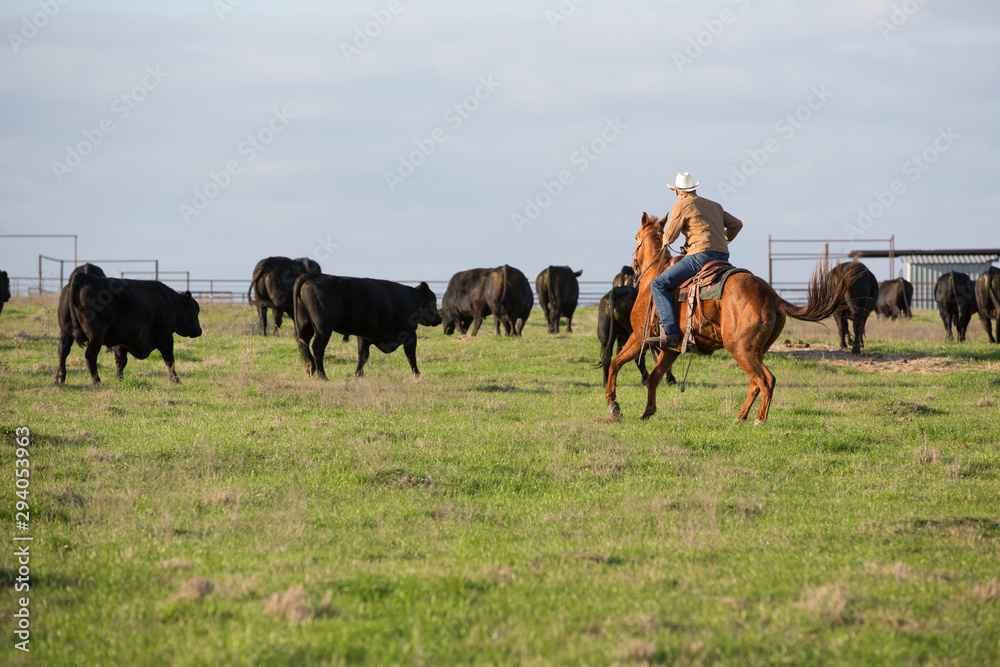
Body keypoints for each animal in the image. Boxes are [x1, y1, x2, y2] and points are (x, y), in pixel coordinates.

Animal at [64, 273, 202, 384]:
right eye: (195, 311)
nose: (200, 330)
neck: (170, 302)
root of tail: (85, 276)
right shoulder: (166, 338)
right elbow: (169, 361)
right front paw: (176, 381)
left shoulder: (120, 342)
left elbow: (121, 362)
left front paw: (118, 379)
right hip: (96, 336)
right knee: (90, 355)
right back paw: (97, 381)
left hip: (67, 332)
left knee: (63, 350)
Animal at [293, 274, 441, 379]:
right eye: (433, 301)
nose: (440, 319)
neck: (412, 298)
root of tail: (312, 276)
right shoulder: (410, 334)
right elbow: (411, 356)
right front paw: (417, 374)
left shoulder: (364, 335)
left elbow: (362, 355)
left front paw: (358, 374)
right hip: (323, 328)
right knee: (317, 347)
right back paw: (322, 375)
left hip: (305, 324)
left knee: (304, 343)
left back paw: (309, 369)